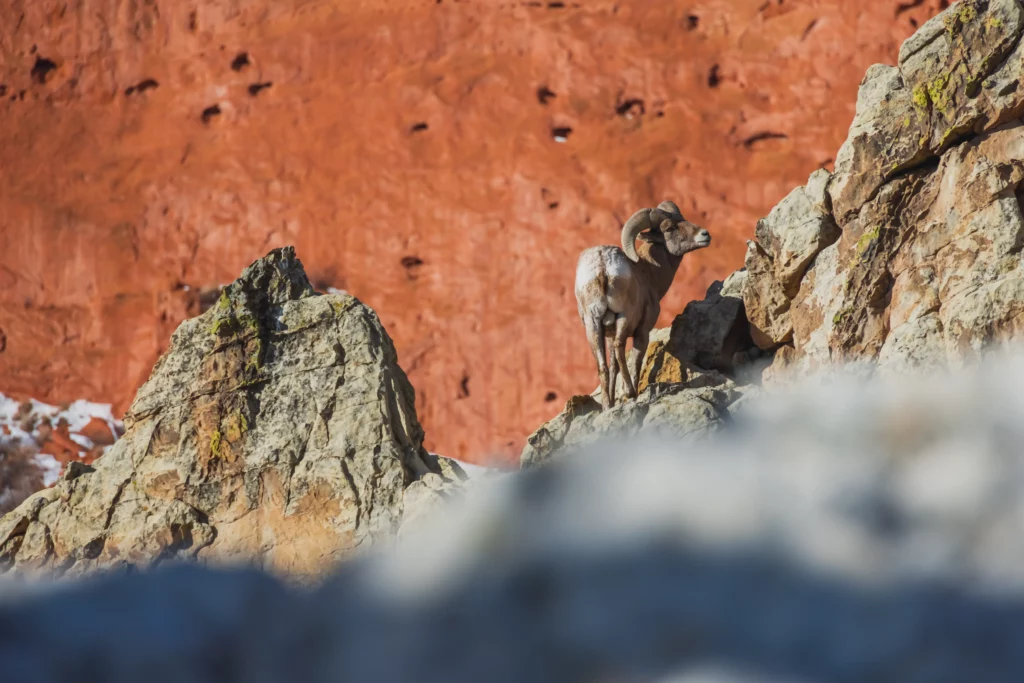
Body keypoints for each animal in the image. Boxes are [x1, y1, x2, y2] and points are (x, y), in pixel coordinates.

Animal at [575, 201, 711, 409]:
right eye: (670, 228)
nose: (705, 235)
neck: (648, 272)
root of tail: (603, 265)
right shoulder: (642, 330)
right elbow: (637, 359)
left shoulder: (608, 332)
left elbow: (613, 366)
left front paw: (612, 403)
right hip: (624, 317)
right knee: (620, 347)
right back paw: (630, 392)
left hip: (593, 325)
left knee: (603, 365)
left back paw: (607, 405)